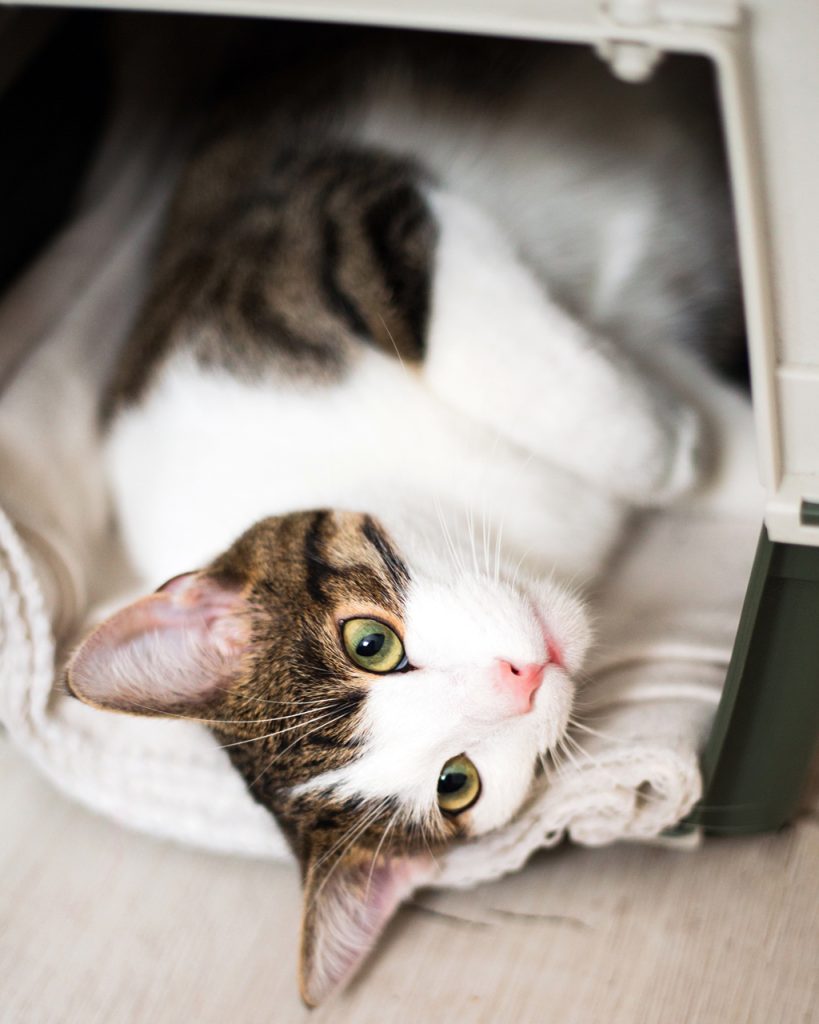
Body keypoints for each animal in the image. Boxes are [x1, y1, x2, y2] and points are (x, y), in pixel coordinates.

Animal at [63, 32, 741, 1007]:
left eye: (368, 643)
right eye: (457, 785)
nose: (521, 675)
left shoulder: (324, 224)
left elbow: (493, 352)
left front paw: (672, 443)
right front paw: (702, 447)